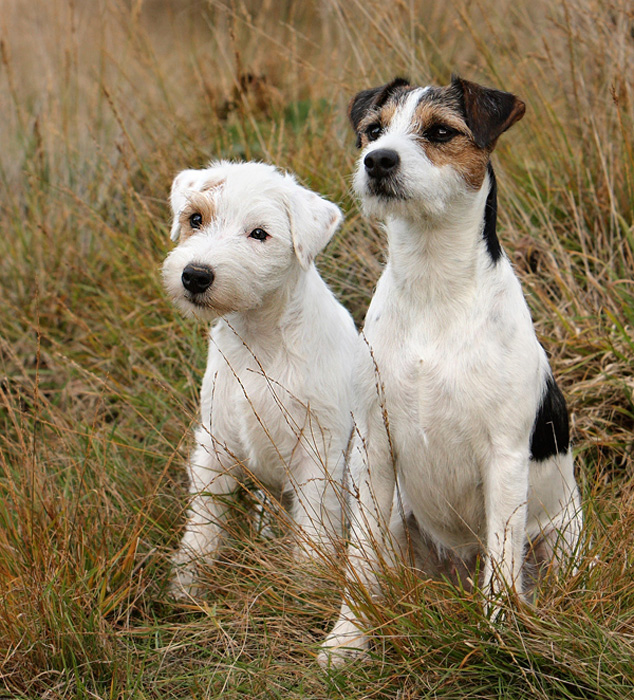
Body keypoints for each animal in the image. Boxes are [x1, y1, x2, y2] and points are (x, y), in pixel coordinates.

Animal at [163, 160, 358, 596]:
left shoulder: (318, 453)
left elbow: (314, 527)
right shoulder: (215, 442)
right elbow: (204, 522)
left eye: (258, 234)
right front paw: (187, 584)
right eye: (195, 218)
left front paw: (307, 585)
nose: (195, 275)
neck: (260, 342)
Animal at [318, 78, 580, 668]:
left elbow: (502, 566)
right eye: (374, 130)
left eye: (440, 132)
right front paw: (348, 639)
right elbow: (358, 562)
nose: (377, 160)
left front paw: (498, 634)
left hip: (559, 540)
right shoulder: (374, 449)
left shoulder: (504, 458)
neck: (433, 285)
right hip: (400, 517)